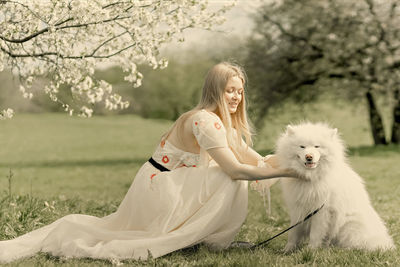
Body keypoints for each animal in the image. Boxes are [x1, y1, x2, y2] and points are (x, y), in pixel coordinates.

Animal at [276, 123, 394, 253]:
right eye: (302, 147)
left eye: (317, 146)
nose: (309, 157)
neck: (310, 177)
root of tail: (384, 242)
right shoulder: (298, 209)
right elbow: (293, 233)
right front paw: (287, 250)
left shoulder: (321, 211)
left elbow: (315, 234)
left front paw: (311, 250)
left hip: (349, 227)